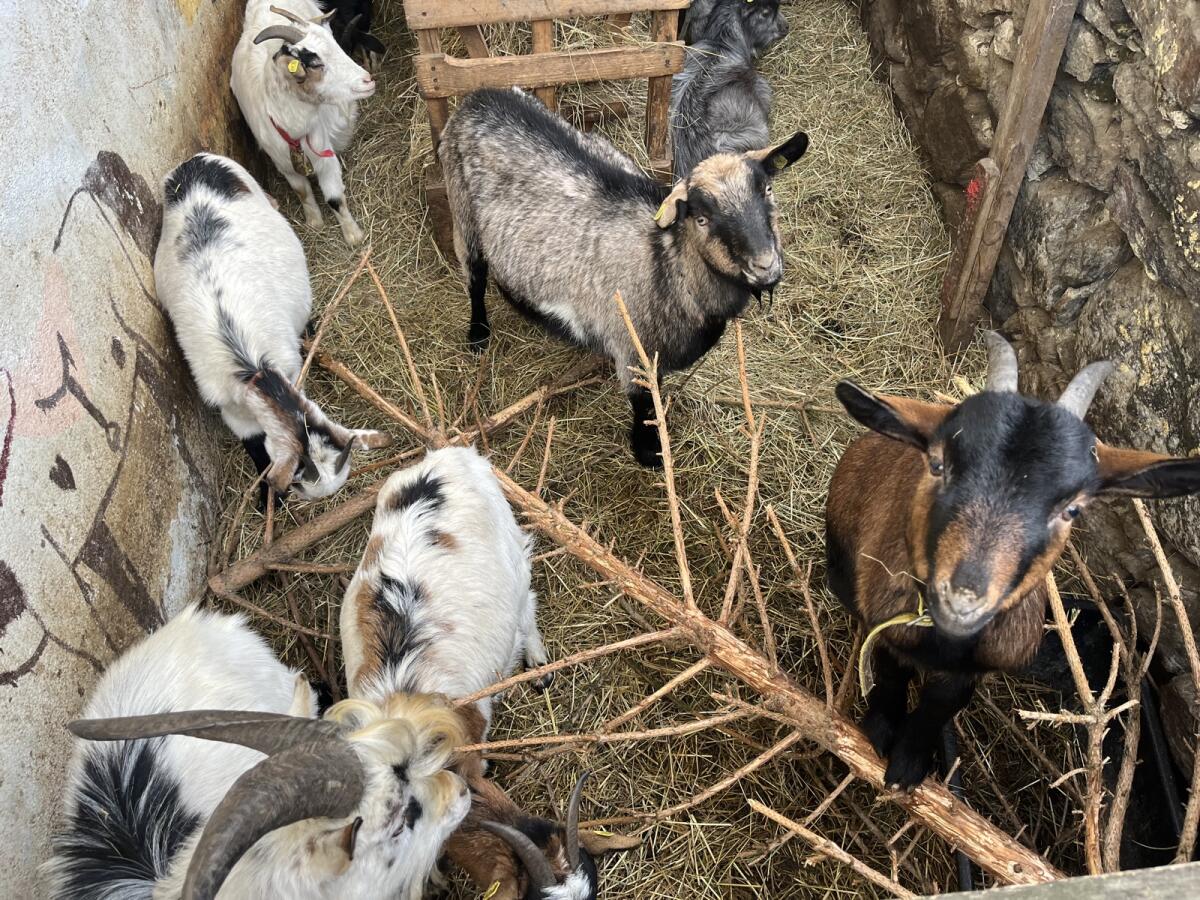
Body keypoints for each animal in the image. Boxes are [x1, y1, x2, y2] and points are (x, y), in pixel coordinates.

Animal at [154, 153, 390, 504]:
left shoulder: (290, 372)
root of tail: (196, 161)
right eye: (299, 483)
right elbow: (254, 446)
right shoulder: (230, 407)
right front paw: (268, 497)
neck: (255, 370)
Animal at [231, 2, 376, 246]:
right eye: (316, 63)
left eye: (337, 46)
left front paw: (353, 235)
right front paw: (314, 222)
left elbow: (334, 197)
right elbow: (302, 191)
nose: (367, 80)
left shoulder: (324, 155)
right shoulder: (282, 163)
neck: (292, 129)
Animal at [438, 87, 808, 466]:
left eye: (766, 190)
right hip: (462, 211)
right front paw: (650, 453)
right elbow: (644, 405)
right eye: (702, 218)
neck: (667, 262)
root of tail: (480, 96)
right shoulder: (633, 350)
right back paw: (478, 335)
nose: (764, 266)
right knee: (475, 278)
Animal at [825, 332, 1200, 789]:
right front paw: (877, 735)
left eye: (1072, 509)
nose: (963, 600)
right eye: (937, 464)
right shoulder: (887, 625)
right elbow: (890, 674)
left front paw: (909, 765)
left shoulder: (976, 668)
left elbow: (940, 705)